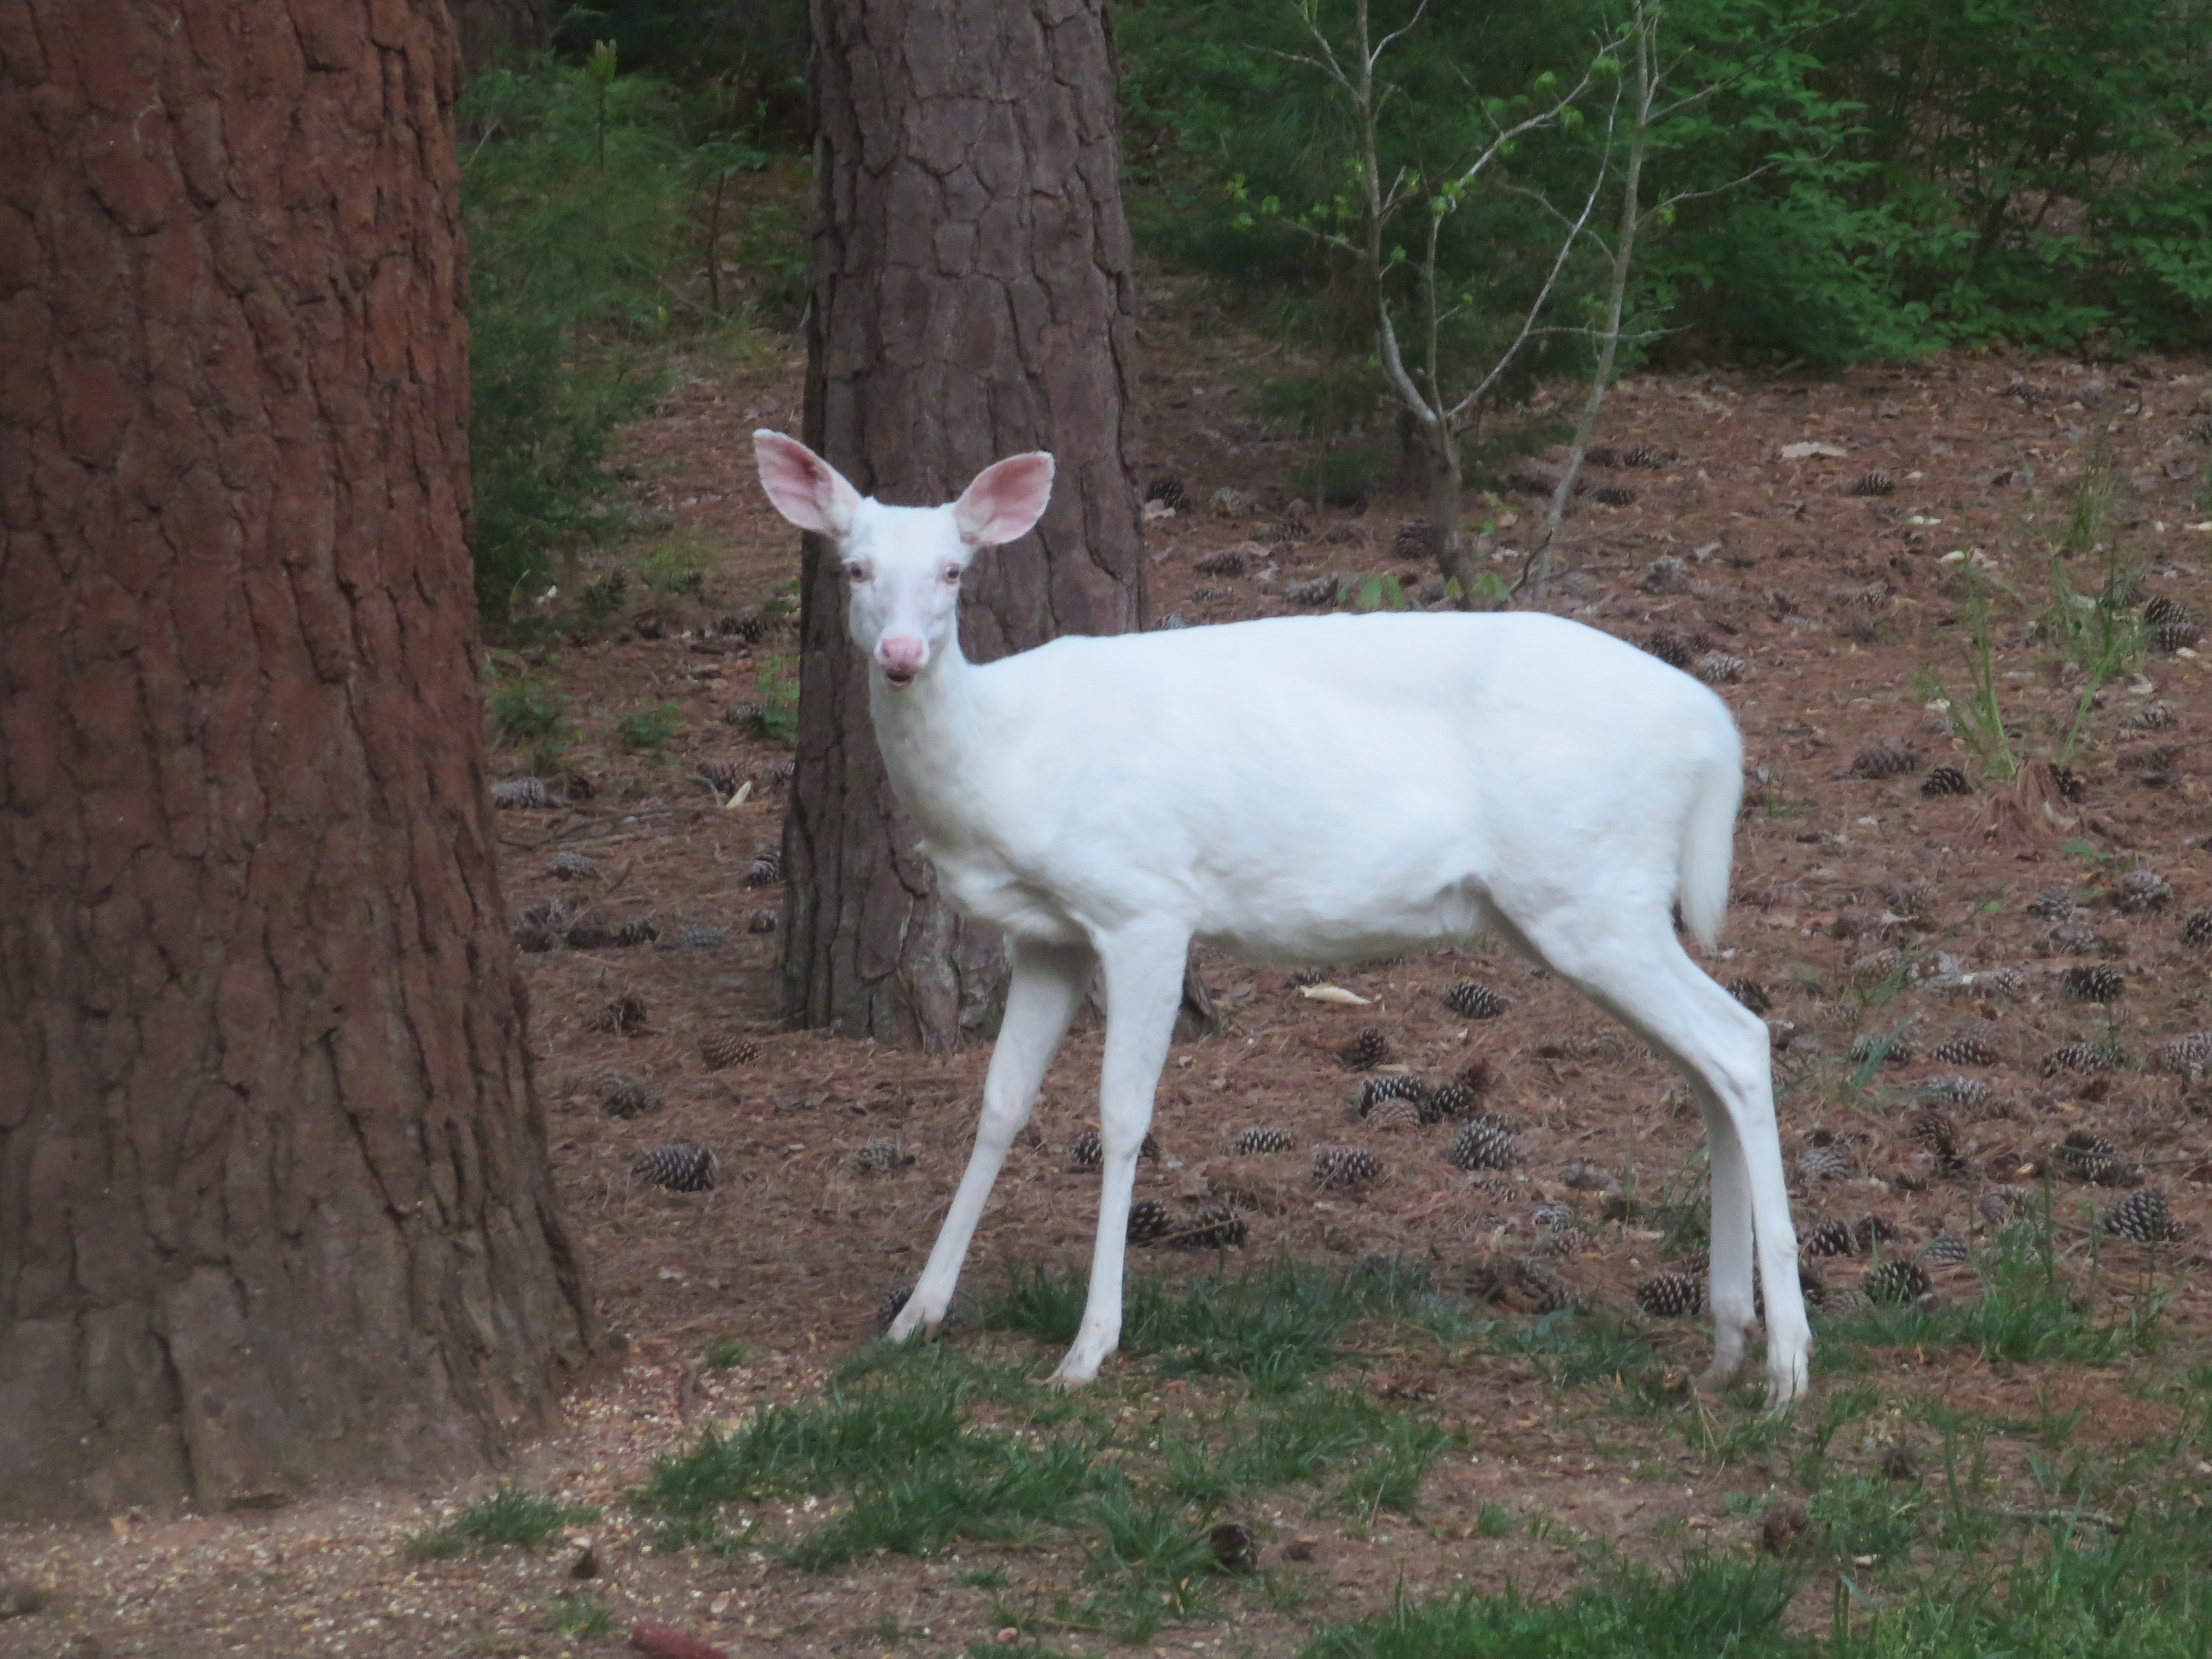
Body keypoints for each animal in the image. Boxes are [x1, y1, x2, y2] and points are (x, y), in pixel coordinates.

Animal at [752, 431, 1810, 1411]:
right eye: (852, 567)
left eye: (953, 570)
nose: (899, 656)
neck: (1005, 761)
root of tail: (1715, 728)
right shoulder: (1047, 933)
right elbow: (1001, 1104)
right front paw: (917, 1316)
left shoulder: (1145, 902)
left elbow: (1123, 1115)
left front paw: (1089, 1348)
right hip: (1594, 901)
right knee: (1707, 1067)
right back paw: (1728, 1342)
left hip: (1590, 889)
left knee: (1740, 1040)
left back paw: (1790, 1366)